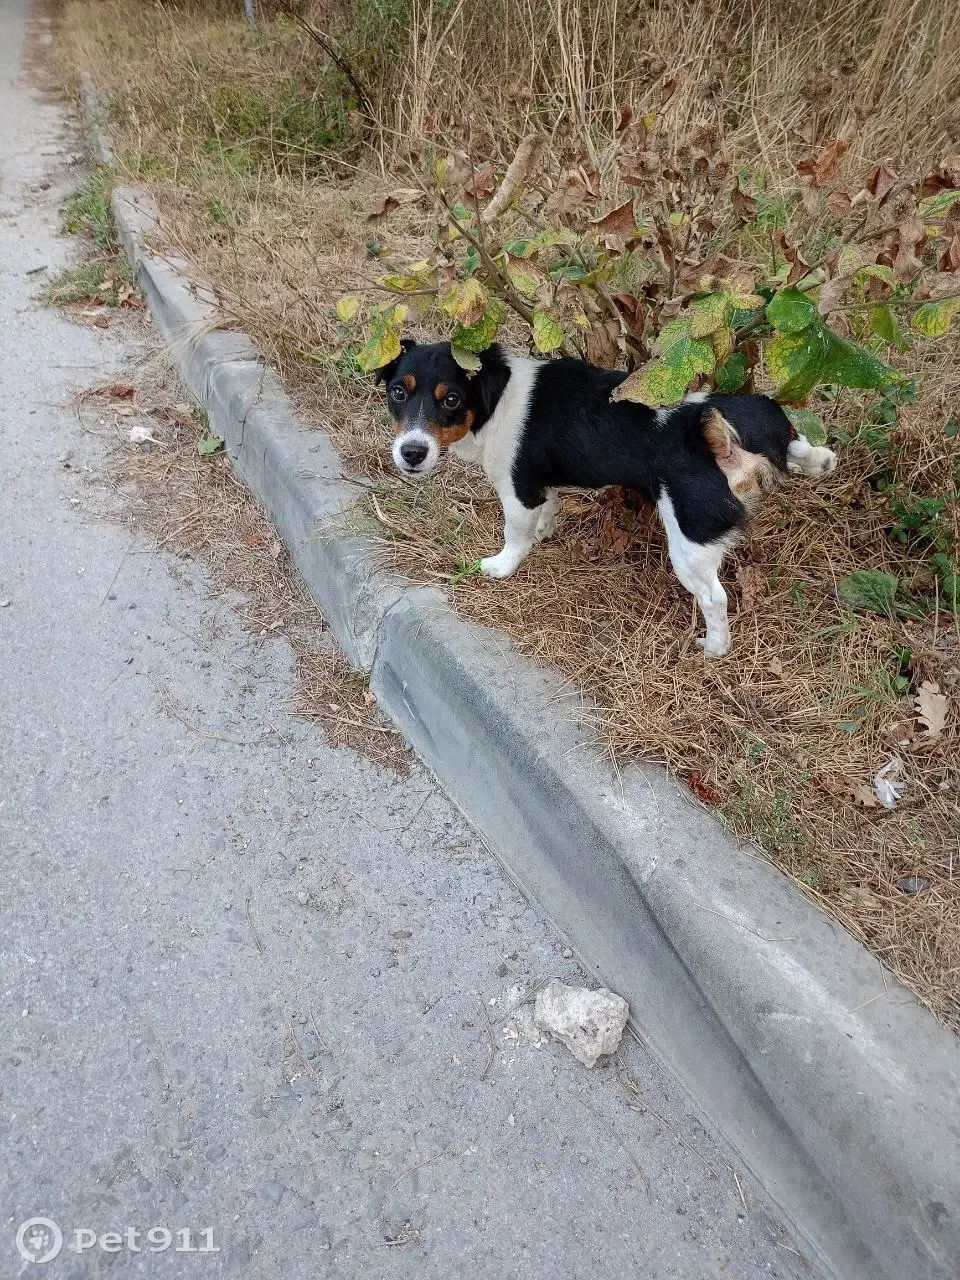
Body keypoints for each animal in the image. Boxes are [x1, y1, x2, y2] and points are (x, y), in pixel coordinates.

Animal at [378, 340, 839, 655]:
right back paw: (819, 461)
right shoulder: (542, 484)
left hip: (689, 545)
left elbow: (514, 537)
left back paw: (713, 647)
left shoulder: (517, 491)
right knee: (806, 449)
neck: (497, 398)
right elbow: (550, 506)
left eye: (452, 400)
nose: (411, 453)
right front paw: (547, 530)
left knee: (714, 598)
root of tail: (713, 430)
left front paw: (501, 567)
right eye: (398, 392)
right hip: (778, 436)